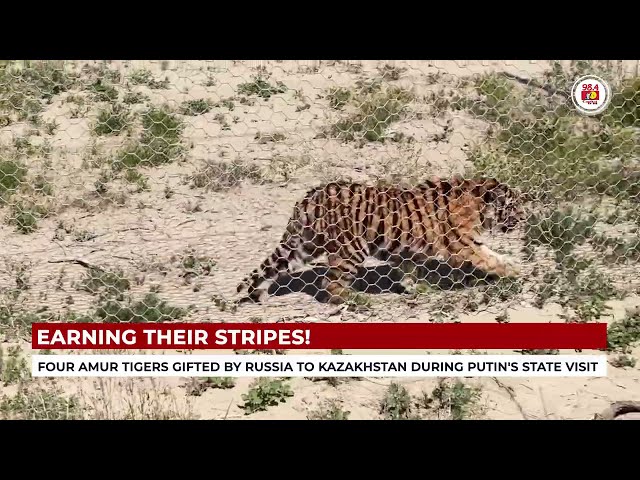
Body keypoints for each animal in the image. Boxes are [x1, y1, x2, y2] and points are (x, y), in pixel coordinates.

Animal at [237, 175, 526, 305]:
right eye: (514, 206)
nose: (525, 217)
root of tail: (309, 197)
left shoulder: (408, 248)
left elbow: (409, 269)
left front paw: (415, 288)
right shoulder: (463, 245)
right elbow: (493, 259)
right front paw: (516, 271)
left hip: (303, 245)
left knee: (274, 267)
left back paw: (257, 294)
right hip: (350, 249)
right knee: (330, 283)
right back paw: (357, 299)